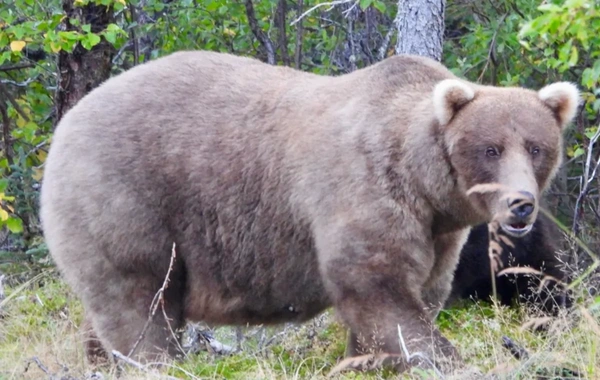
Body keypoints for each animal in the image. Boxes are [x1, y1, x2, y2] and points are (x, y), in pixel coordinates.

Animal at [38, 49, 580, 374]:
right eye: (490, 148)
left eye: (536, 148)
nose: (520, 204)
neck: (424, 182)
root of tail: (67, 120)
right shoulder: (363, 188)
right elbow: (376, 285)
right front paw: (439, 357)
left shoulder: (438, 232)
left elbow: (423, 289)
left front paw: (365, 359)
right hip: (128, 199)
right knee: (141, 303)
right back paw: (157, 362)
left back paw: (97, 361)